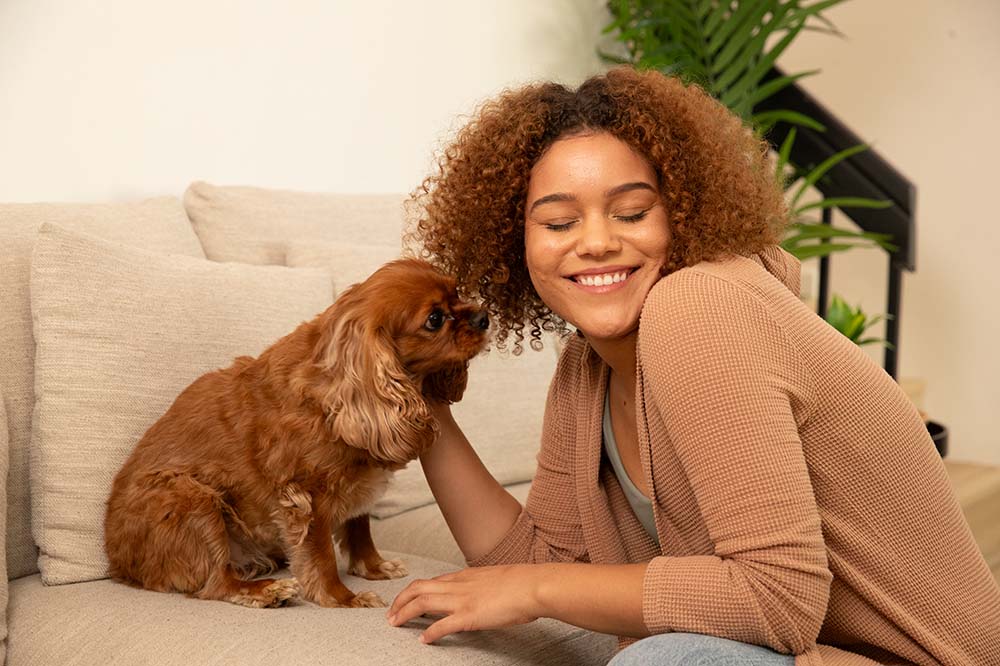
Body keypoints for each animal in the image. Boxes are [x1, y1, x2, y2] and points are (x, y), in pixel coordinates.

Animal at [104, 258, 488, 608]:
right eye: (435, 319)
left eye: (457, 291)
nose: (484, 316)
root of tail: (117, 562)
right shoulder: (307, 496)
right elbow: (322, 556)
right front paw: (343, 598)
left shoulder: (359, 481)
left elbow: (359, 526)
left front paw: (374, 567)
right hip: (192, 499)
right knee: (216, 583)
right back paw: (267, 591)